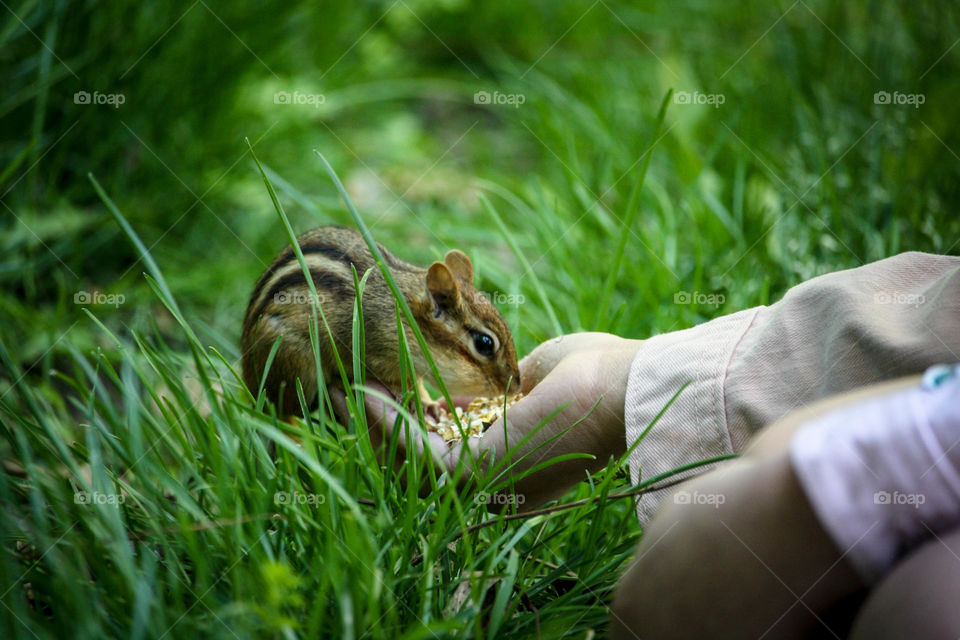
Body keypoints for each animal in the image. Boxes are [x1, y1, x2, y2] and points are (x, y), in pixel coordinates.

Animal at [241, 225, 520, 418]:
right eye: (484, 344)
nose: (516, 386)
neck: (405, 318)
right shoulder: (373, 351)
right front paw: (414, 399)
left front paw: (428, 403)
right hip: (292, 360)